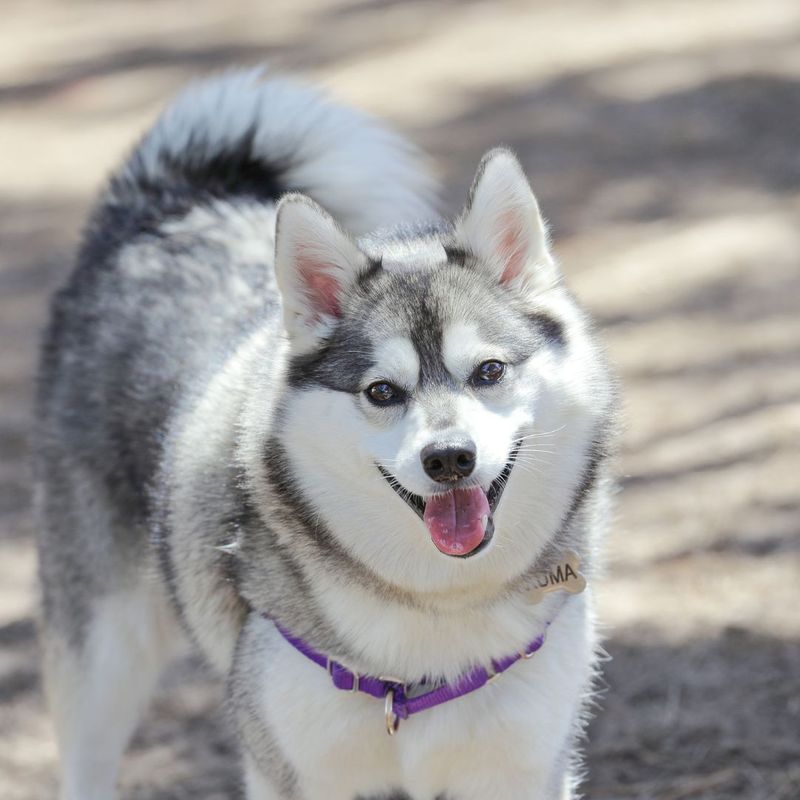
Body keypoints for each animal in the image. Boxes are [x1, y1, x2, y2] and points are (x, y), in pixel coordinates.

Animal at [32, 69, 620, 800]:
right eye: (382, 392)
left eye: (488, 371)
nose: (450, 459)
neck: (434, 617)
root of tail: (167, 209)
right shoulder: (295, 772)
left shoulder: (522, 769)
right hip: (102, 655)